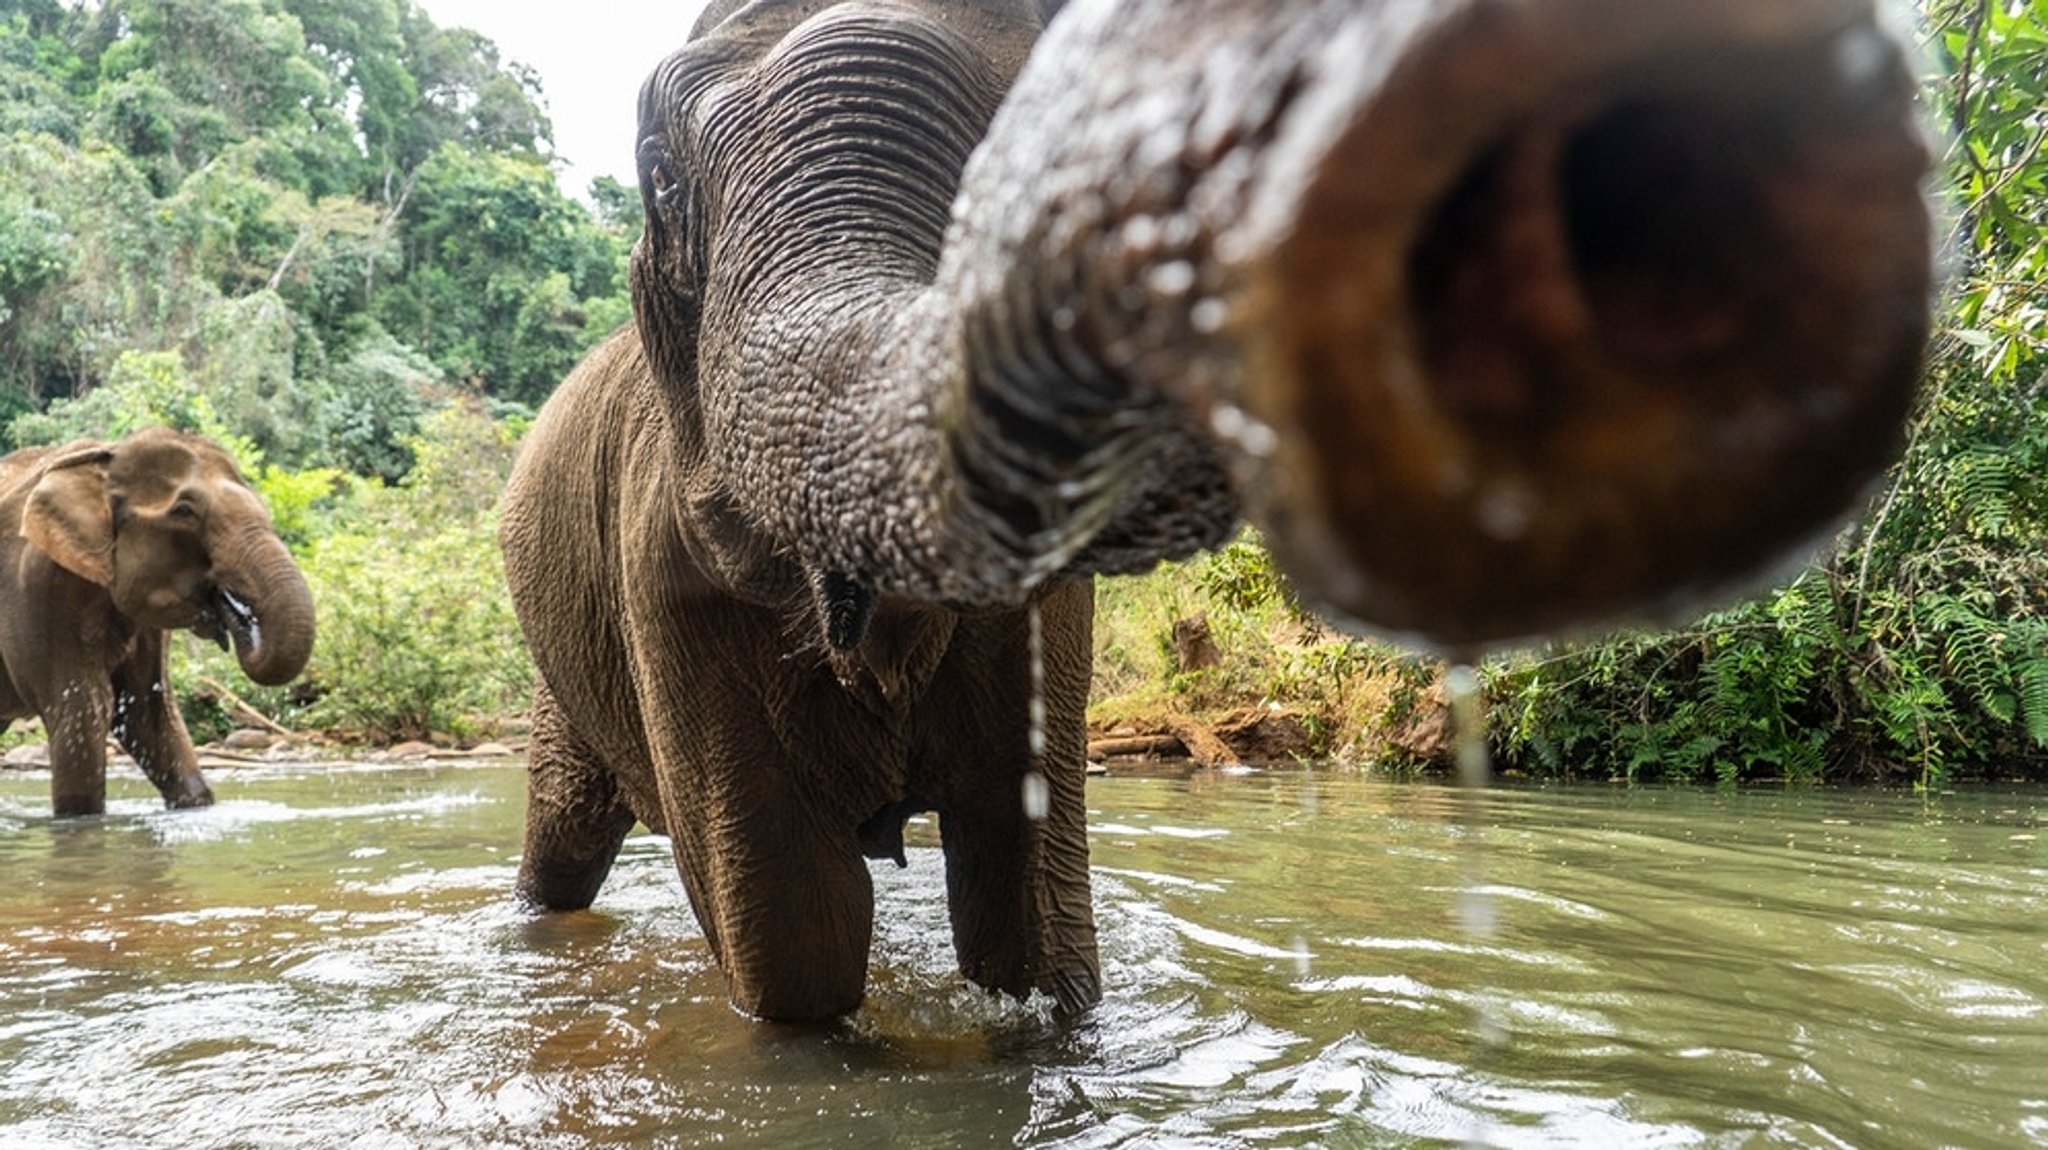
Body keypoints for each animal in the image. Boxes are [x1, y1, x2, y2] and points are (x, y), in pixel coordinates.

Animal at [0, 427, 315, 814]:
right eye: (185, 511)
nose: (236, 612)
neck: (104, 461)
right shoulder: (42, 589)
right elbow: (83, 712)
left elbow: (148, 715)